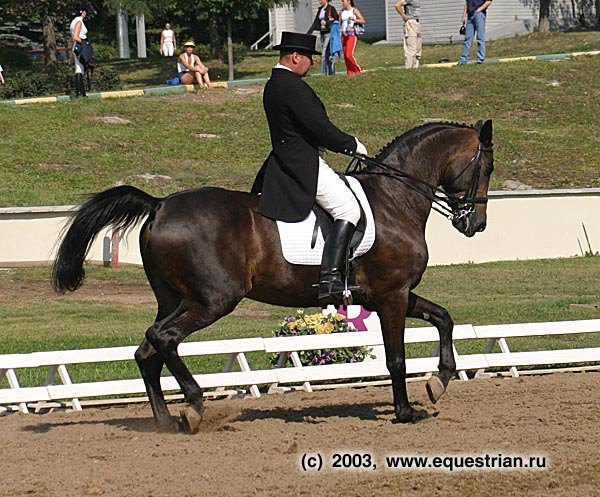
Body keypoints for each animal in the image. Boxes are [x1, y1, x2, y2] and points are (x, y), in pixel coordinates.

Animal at [52, 119, 492, 430]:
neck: (395, 199)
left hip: (174, 298)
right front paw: (404, 411)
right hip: (213, 299)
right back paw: (194, 406)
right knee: (162, 338)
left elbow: (444, 318)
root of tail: (160, 204)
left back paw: (163, 422)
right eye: (486, 167)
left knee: (147, 351)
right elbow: (397, 357)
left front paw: (439, 382)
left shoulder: (390, 294)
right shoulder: (392, 295)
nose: (477, 224)